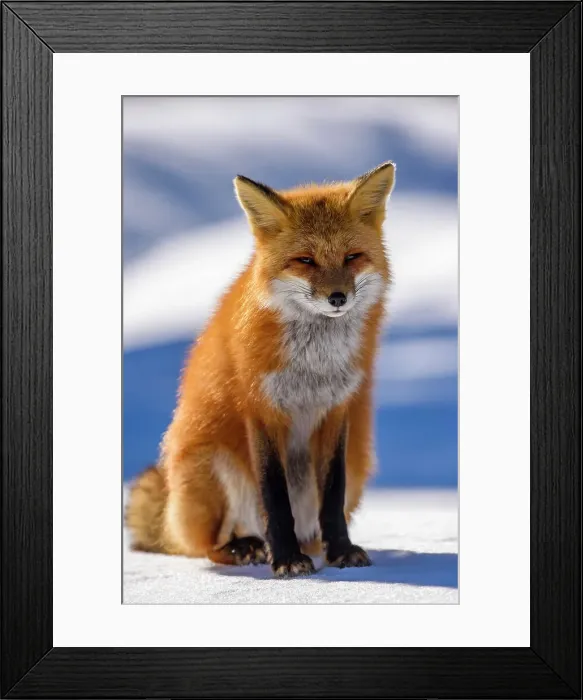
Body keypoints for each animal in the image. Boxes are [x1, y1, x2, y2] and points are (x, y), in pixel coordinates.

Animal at [126, 161, 396, 577]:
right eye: (305, 260)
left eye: (352, 257)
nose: (338, 298)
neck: (313, 365)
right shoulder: (262, 410)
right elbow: (275, 497)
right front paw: (285, 559)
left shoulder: (336, 410)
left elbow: (331, 495)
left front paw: (341, 551)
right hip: (211, 463)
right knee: (206, 547)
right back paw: (246, 547)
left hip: (359, 463)